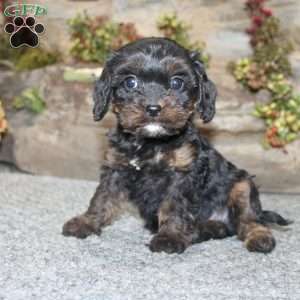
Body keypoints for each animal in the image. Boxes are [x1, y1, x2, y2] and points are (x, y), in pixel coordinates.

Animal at [62, 37, 290, 253]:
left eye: (177, 82)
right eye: (130, 82)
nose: (153, 108)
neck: (151, 142)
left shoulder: (182, 174)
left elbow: (173, 206)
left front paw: (169, 237)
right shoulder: (116, 168)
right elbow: (102, 197)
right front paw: (86, 222)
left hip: (242, 185)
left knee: (249, 220)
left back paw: (259, 238)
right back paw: (202, 230)